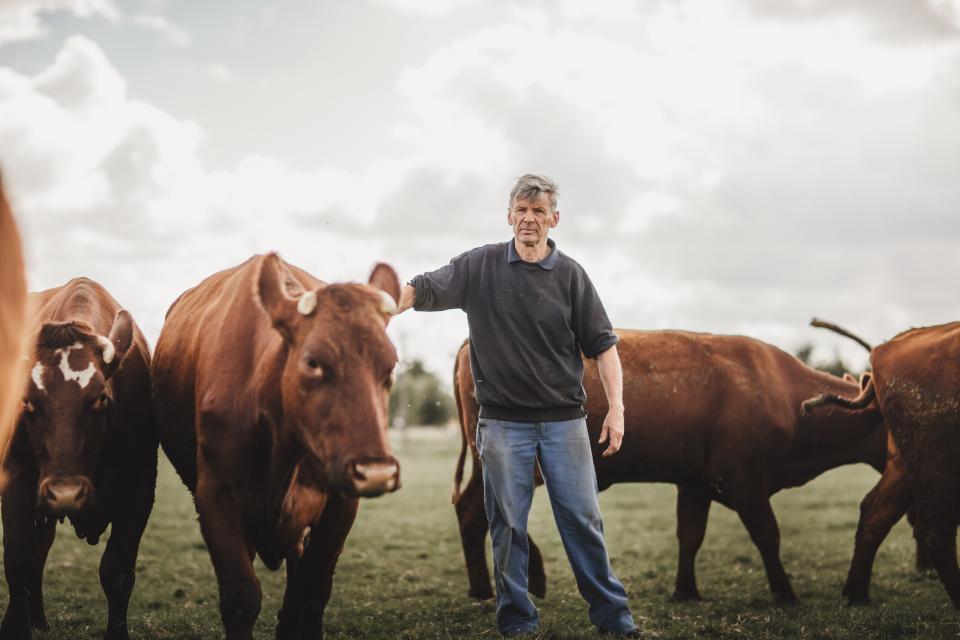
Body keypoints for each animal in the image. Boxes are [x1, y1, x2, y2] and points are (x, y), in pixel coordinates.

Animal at [0, 276, 156, 640]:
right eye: (26, 401)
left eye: (101, 398)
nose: (66, 493)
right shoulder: (15, 477)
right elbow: (19, 559)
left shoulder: (140, 489)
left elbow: (118, 571)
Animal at [153, 254, 404, 640]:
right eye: (313, 362)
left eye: (390, 366)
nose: (376, 472)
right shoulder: (214, 496)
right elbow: (241, 597)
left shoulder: (341, 499)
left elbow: (314, 588)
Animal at [454, 330, 888, 604]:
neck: (784, 396)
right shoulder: (744, 480)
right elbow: (768, 535)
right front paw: (785, 594)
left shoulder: (695, 483)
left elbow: (689, 536)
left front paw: (686, 591)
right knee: (486, 513)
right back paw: (522, 580)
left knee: (470, 511)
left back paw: (483, 588)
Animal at [804, 322, 960, 608]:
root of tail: (885, 347)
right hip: (939, 464)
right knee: (935, 531)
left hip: (905, 465)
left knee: (875, 512)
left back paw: (857, 594)